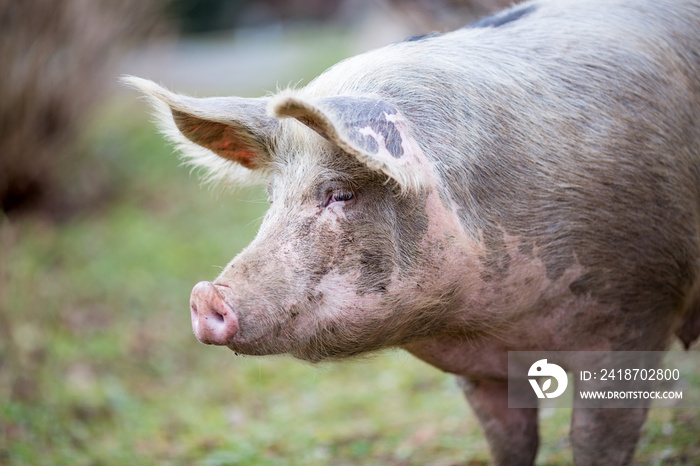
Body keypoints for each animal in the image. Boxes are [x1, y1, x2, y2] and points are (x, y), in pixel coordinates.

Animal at [121, 0, 700, 464]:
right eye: (271, 197)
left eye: (340, 194)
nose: (206, 295)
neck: (493, 325)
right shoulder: (482, 371)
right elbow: (511, 444)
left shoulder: (634, 311)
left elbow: (596, 443)